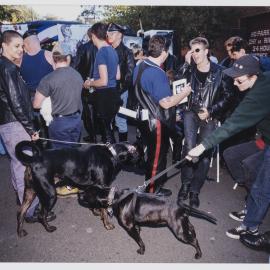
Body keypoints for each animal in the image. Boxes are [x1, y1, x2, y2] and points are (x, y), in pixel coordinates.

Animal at [78, 185, 217, 258]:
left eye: (86, 193)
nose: (78, 193)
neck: (115, 196)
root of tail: (180, 204)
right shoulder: (135, 225)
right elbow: (139, 235)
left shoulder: (130, 227)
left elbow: (140, 241)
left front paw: (142, 250)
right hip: (184, 224)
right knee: (192, 230)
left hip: (179, 231)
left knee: (194, 240)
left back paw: (199, 254)